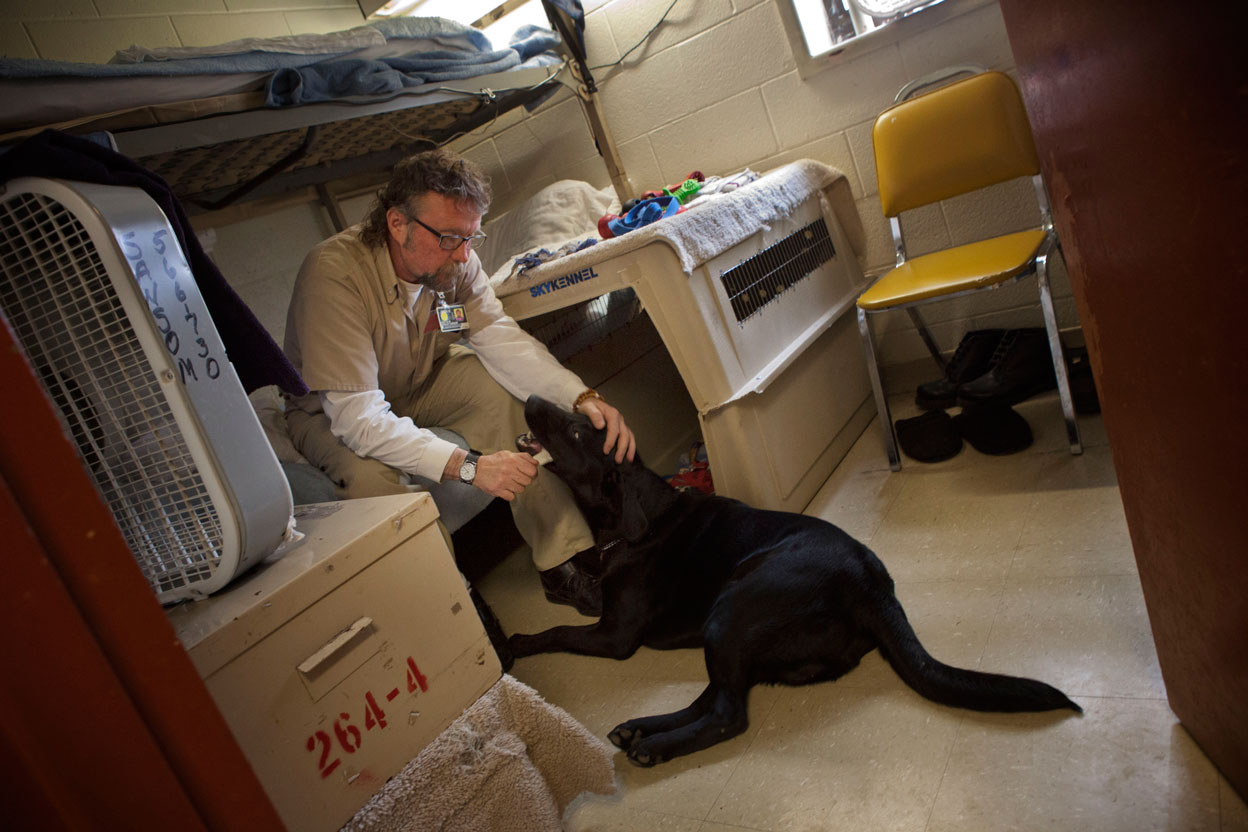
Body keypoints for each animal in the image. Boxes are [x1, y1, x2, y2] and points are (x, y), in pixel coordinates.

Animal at [511, 396, 1078, 768]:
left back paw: (653, 746)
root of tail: (873, 585)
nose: (533, 396)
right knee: (712, 698)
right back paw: (640, 728)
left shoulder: (616, 636)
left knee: (728, 714)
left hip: (731, 610)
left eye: (579, 432)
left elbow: (556, 632)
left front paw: (516, 642)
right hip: (733, 635)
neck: (638, 520)